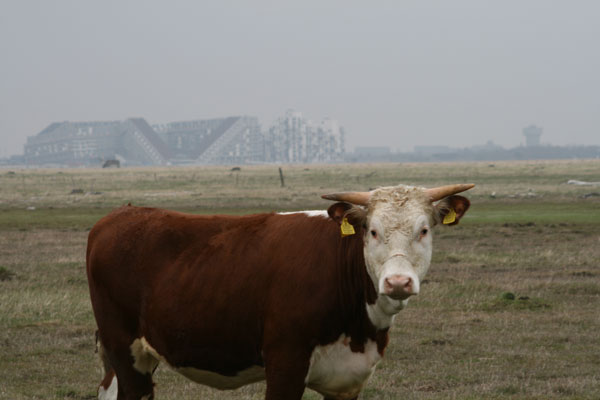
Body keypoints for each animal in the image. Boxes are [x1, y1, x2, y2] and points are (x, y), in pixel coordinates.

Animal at [88, 183, 474, 398]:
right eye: (373, 231)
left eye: (424, 230)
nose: (397, 282)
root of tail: (121, 214)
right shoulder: (285, 366)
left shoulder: (348, 380)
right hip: (125, 350)